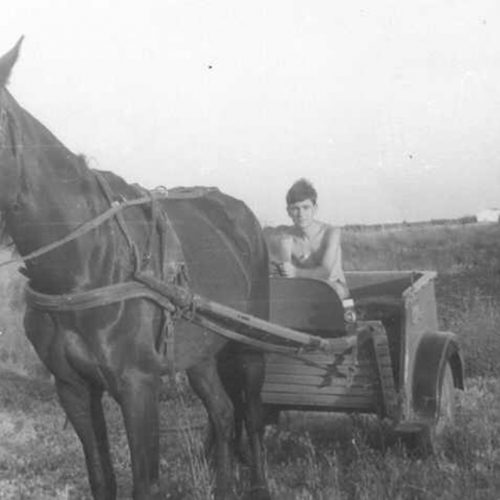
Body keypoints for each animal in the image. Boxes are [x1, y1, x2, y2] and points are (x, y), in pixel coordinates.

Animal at [0, 39, 272, 500]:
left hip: (248, 345)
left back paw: (259, 483)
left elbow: (145, 482)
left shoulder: (138, 386)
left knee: (251, 415)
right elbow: (101, 478)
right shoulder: (73, 389)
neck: (84, 267)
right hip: (199, 352)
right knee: (221, 411)